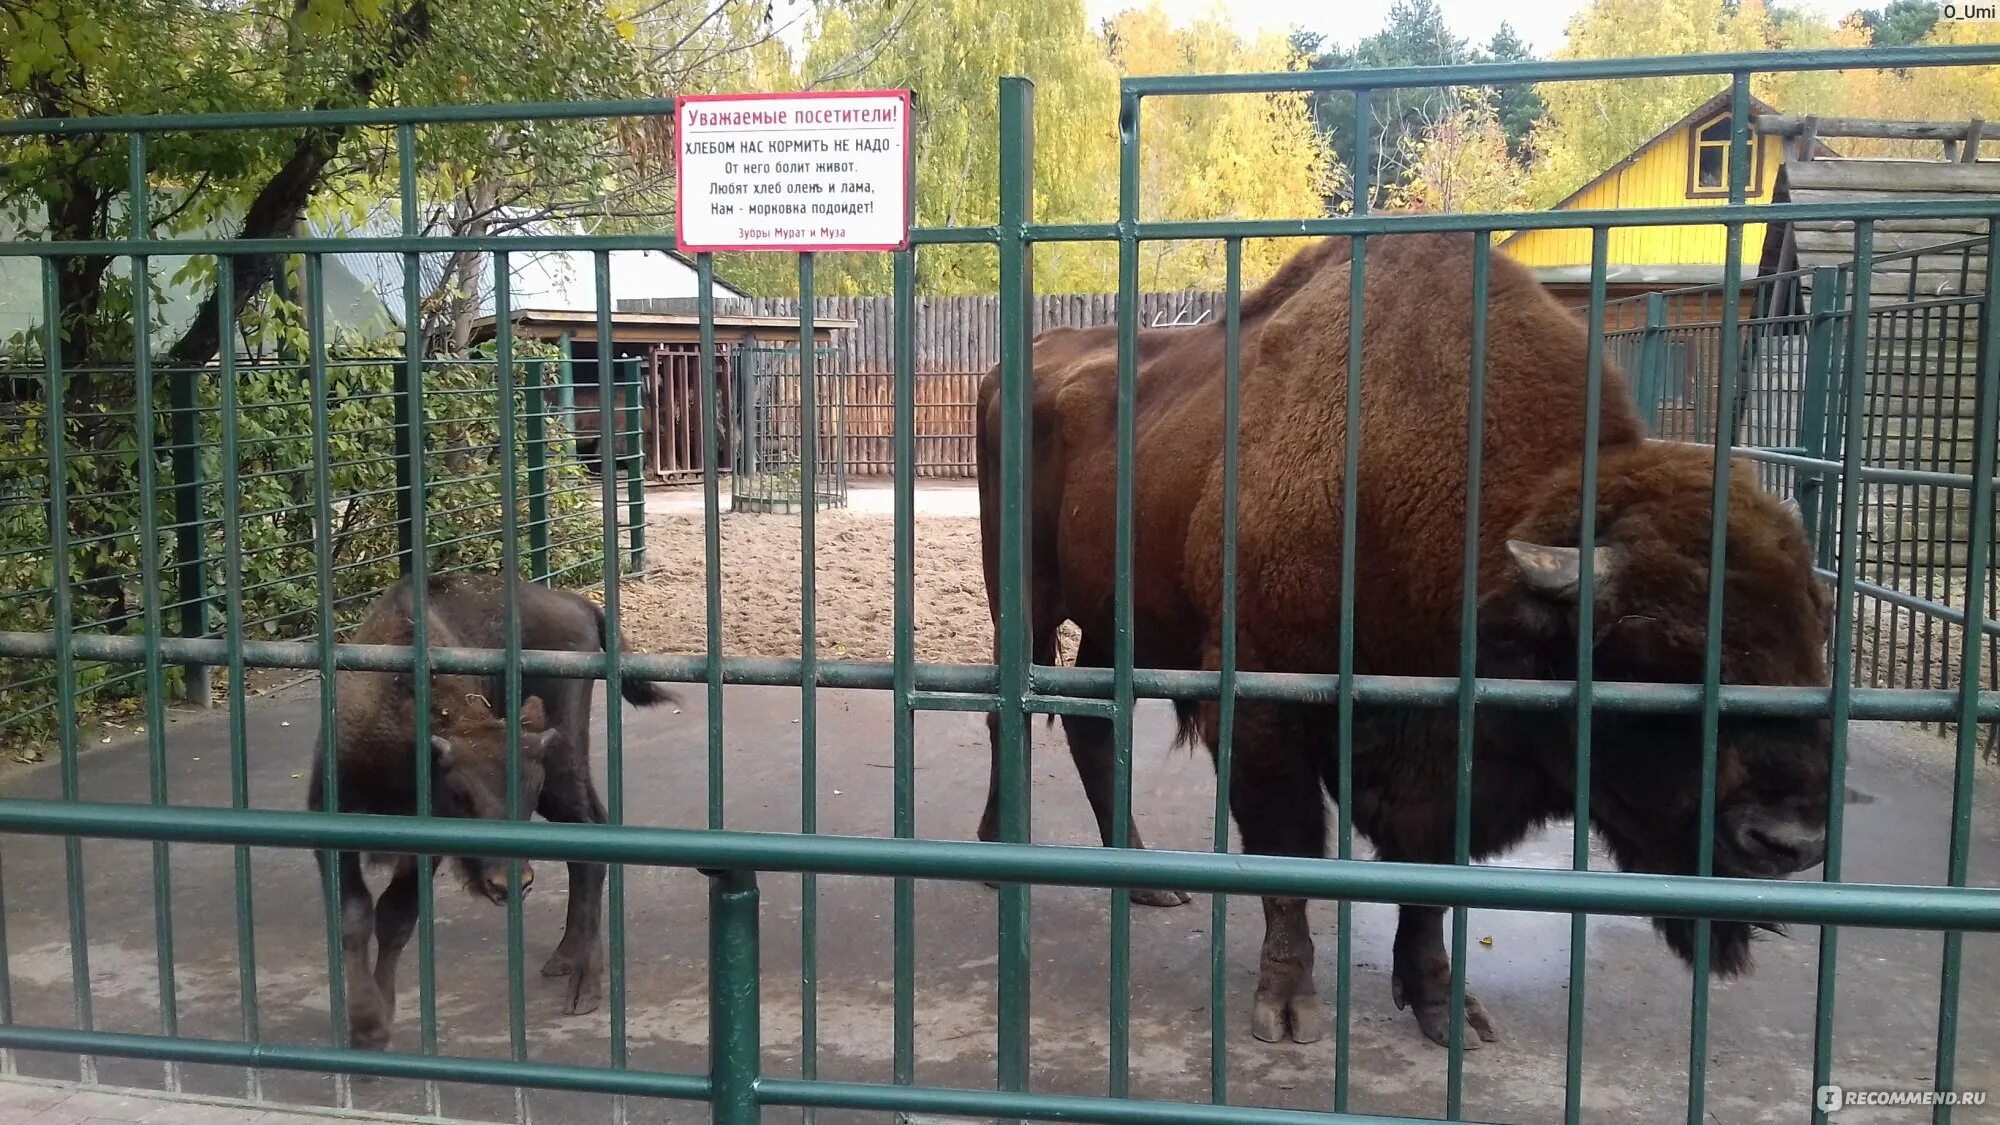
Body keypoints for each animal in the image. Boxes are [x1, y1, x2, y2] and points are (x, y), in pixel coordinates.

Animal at [306, 572, 680, 1048]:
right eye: (459, 795)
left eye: (528, 790)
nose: (510, 884)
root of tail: (578, 603)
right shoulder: (331, 829)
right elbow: (355, 917)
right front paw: (368, 1024)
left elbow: (396, 915)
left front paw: (376, 1021)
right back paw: (564, 960)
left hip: (564, 764)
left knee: (591, 835)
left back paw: (584, 986)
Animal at [976, 232, 1832, 1048]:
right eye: (1653, 651)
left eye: (1812, 634)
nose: (1789, 839)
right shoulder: (1263, 708)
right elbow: (1290, 850)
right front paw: (1286, 1006)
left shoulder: (1446, 762)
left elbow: (1427, 887)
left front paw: (1446, 1009)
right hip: (1026, 599)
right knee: (1005, 710)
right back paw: (998, 856)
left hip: (1115, 623)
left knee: (1092, 725)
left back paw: (1145, 876)